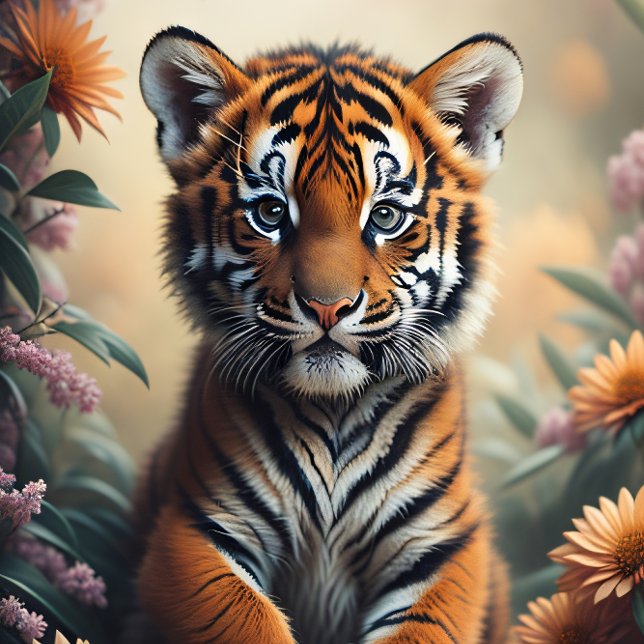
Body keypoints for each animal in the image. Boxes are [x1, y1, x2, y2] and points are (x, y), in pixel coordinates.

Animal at [134, 26, 523, 644]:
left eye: (385, 217)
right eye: (271, 213)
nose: (327, 307)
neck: (334, 414)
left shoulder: (442, 548)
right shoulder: (197, 529)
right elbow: (250, 621)